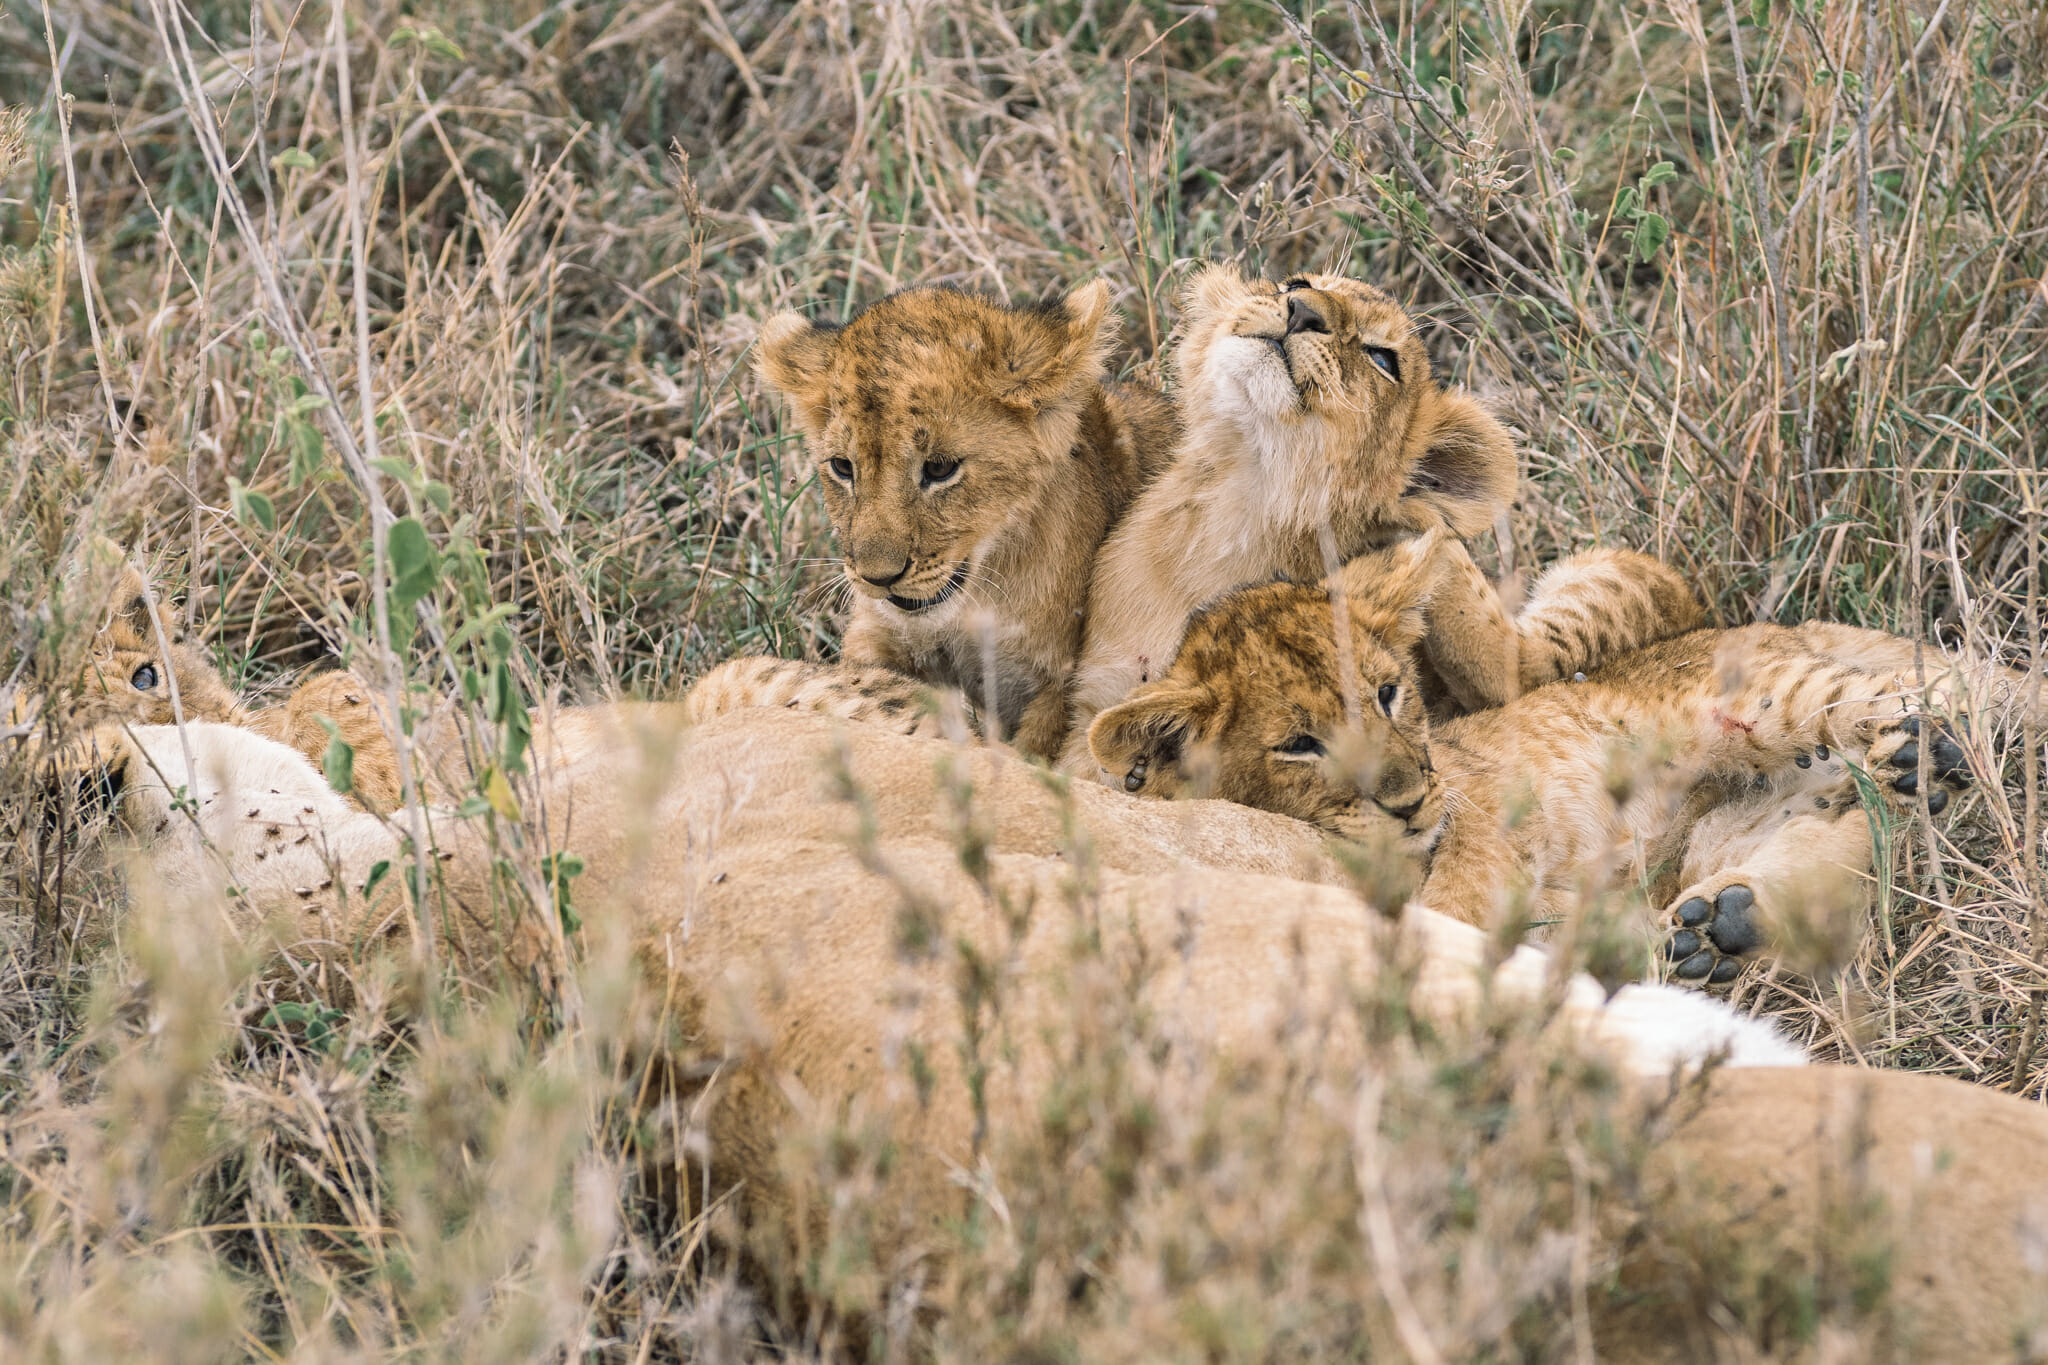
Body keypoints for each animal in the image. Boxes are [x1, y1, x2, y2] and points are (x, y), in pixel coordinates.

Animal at [736, 280, 1177, 759]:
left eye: (940, 468)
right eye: (842, 467)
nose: (878, 578)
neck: (974, 600)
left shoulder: (1064, 680)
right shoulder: (876, 635)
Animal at [1087, 533, 2033, 982]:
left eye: (1390, 694)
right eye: (1297, 744)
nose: (1409, 799)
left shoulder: (1476, 827)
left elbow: (1452, 908)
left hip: (1756, 700)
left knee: (1891, 707)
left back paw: (1922, 747)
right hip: (1737, 829)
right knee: (1849, 840)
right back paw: (1719, 926)